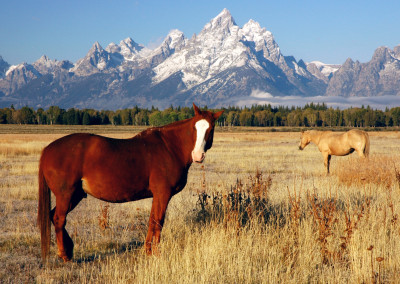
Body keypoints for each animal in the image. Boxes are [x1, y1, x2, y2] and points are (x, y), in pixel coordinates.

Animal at [38, 103, 223, 260]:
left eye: (211, 128)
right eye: (194, 128)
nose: (198, 156)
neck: (170, 148)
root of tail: (47, 149)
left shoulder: (158, 195)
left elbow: (152, 220)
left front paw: (148, 250)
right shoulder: (163, 193)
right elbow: (158, 221)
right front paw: (156, 252)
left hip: (75, 195)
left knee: (53, 216)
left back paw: (68, 249)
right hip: (66, 195)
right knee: (59, 219)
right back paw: (64, 255)